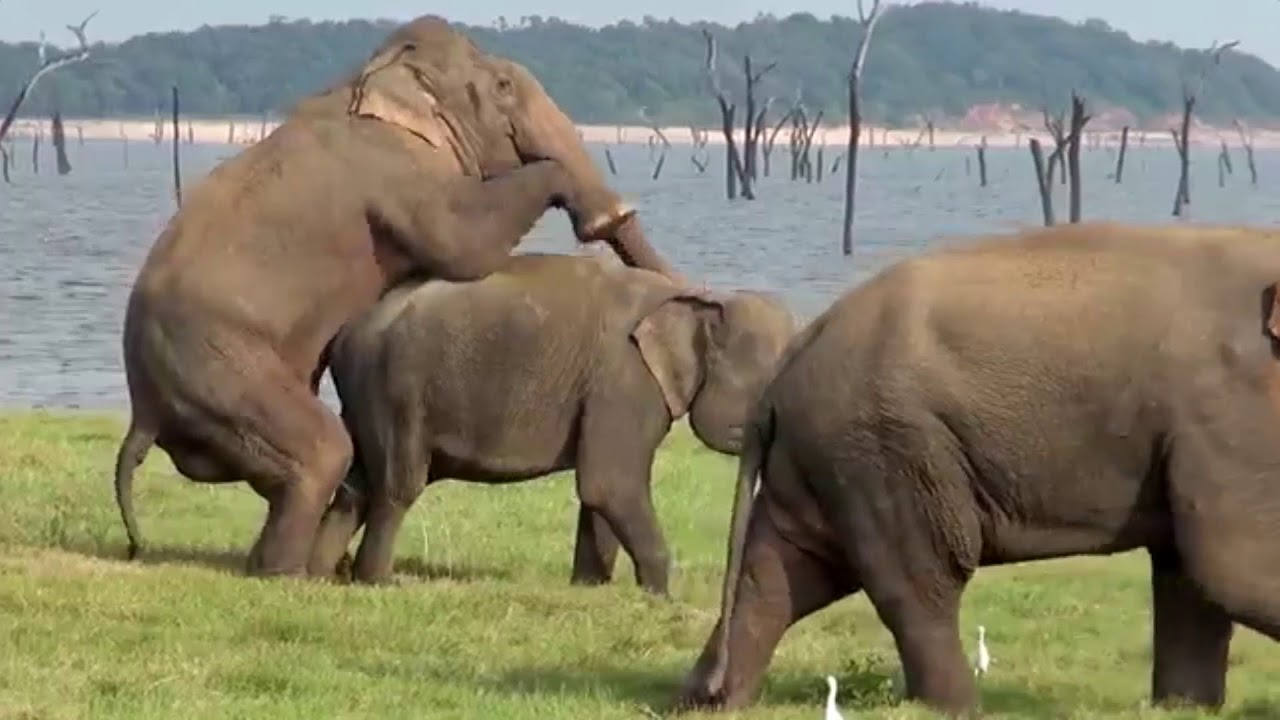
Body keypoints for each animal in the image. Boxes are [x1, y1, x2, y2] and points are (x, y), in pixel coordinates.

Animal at [112, 15, 680, 576]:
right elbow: (462, 247)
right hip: (218, 367)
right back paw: (288, 575)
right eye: (502, 86)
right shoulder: (399, 173)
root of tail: (142, 408)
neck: (368, 77)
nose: (604, 217)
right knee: (322, 451)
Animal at [303, 249, 793, 591]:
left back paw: (319, 576)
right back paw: (380, 581)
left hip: (368, 397)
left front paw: (591, 588)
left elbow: (598, 490)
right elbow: (609, 481)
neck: (700, 296)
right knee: (397, 486)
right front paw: (659, 594)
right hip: (396, 391)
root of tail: (345, 334)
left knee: (357, 485)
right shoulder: (625, 380)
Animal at [680, 221, 1280, 712]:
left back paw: (706, 702)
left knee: (782, 572)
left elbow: (1192, 572)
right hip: (888, 446)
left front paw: (1186, 708)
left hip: (828, 456)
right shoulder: (1227, 406)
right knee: (922, 578)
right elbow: (1233, 565)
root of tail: (795, 352)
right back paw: (959, 707)